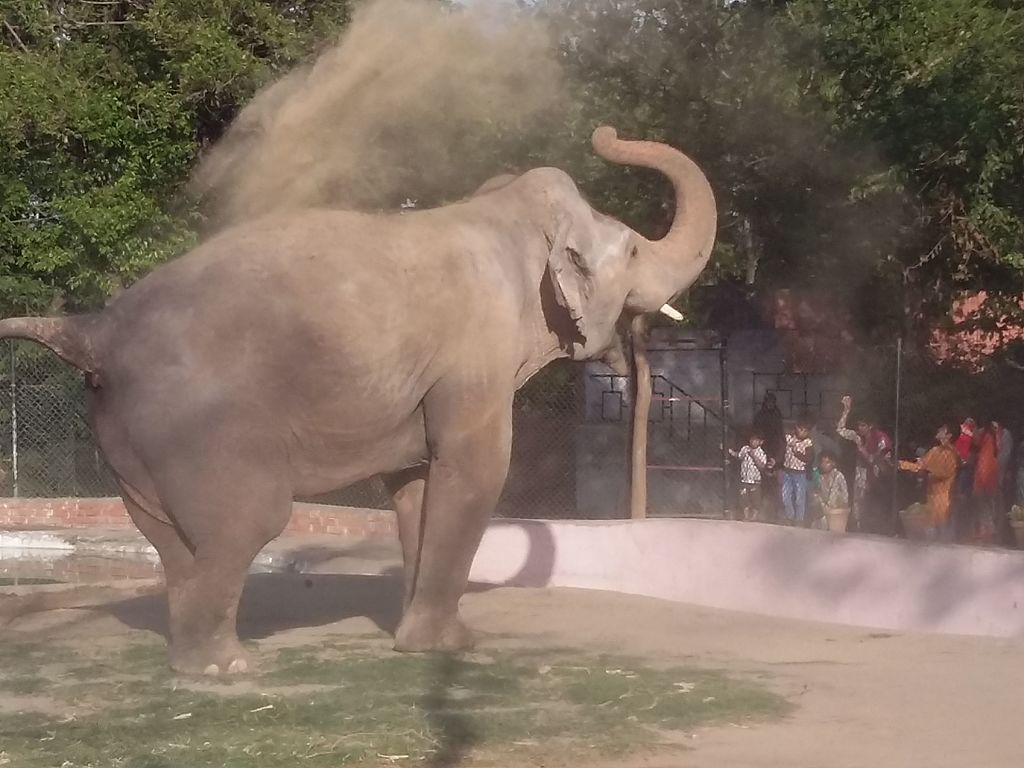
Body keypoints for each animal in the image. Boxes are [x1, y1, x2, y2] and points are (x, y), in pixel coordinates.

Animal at [0, 126, 716, 671]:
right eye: (633, 249)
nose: (605, 134)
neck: (503, 214)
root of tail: (94, 330)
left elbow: (416, 486)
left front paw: (430, 642)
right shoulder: (473, 357)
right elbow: (476, 472)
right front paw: (448, 650)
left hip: (128, 436)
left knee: (169, 537)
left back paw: (193, 661)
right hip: (197, 427)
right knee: (250, 520)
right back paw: (231, 668)